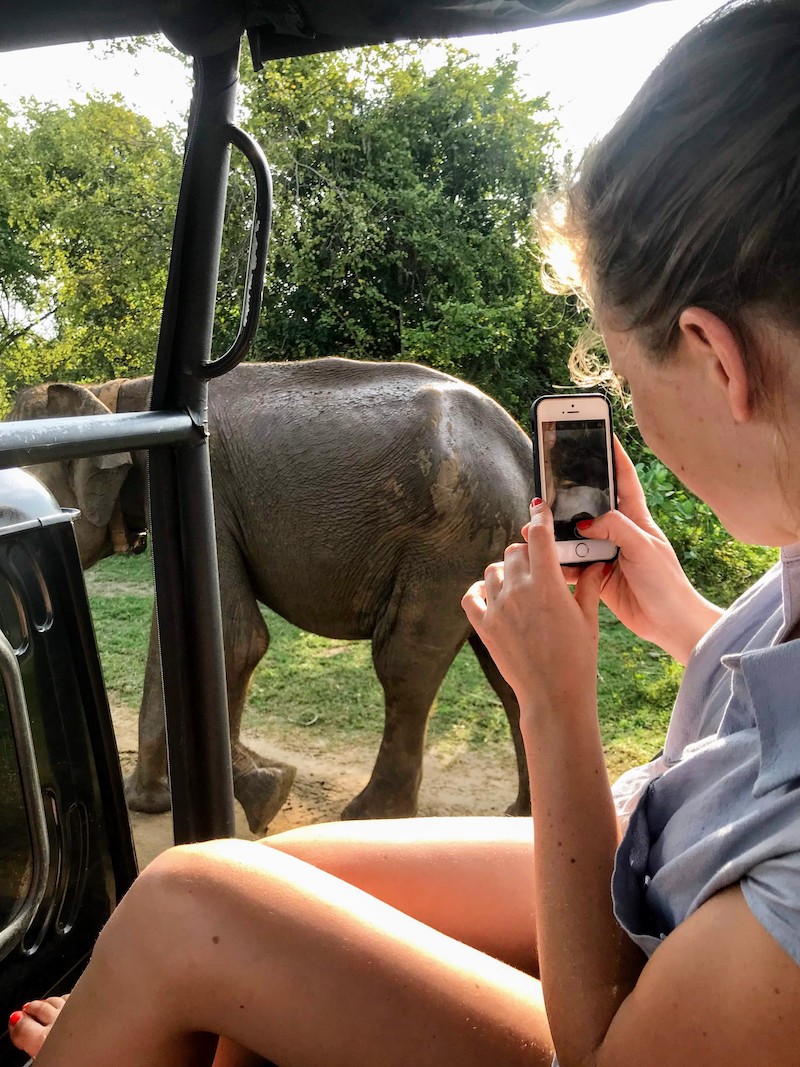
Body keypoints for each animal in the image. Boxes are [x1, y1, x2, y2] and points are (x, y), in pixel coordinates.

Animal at [7, 358, 539, 832]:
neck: (112, 401)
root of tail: (520, 445)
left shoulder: (206, 496)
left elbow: (233, 640)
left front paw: (255, 792)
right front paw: (190, 795)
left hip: (449, 541)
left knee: (403, 664)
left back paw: (369, 818)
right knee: (507, 672)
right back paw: (520, 815)